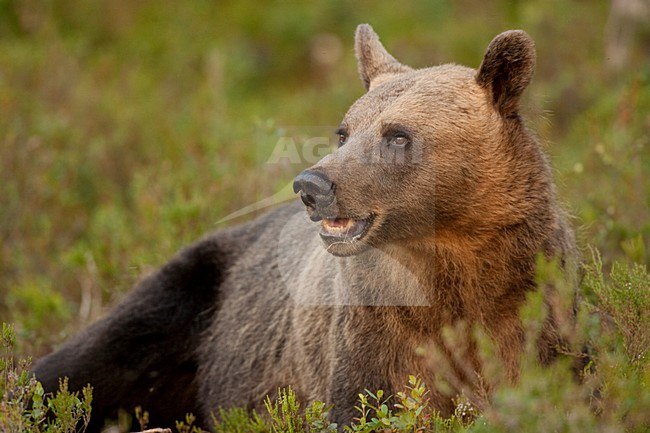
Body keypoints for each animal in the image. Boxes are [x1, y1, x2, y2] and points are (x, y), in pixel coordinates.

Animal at [33, 25, 576, 430]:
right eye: (344, 131)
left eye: (398, 135)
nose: (312, 185)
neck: (450, 261)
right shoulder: (372, 329)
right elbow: (365, 403)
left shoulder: (531, 305)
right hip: (198, 290)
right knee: (93, 358)